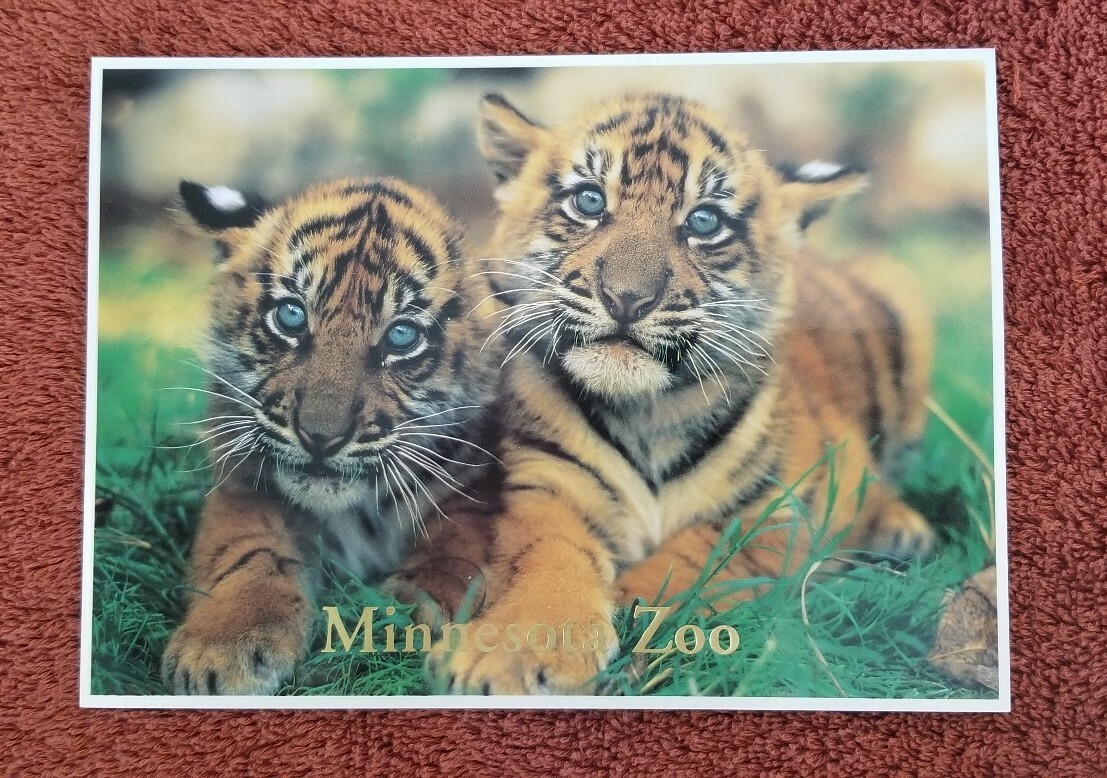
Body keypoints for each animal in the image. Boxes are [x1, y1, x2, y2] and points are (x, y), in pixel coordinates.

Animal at [161, 177, 500, 695]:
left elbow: (446, 567)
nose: (320, 438)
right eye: (291, 316)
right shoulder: (243, 486)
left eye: (401, 336)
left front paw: (372, 632)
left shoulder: (474, 497)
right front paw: (220, 648)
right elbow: (248, 553)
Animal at [426, 93, 937, 695]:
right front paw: (511, 655)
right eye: (589, 200)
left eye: (704, 221)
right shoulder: (551, 484)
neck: (647, 412)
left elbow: (693, 560)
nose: (626, 298)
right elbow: (546, 566)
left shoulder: (784, 505)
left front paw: (628, 618)